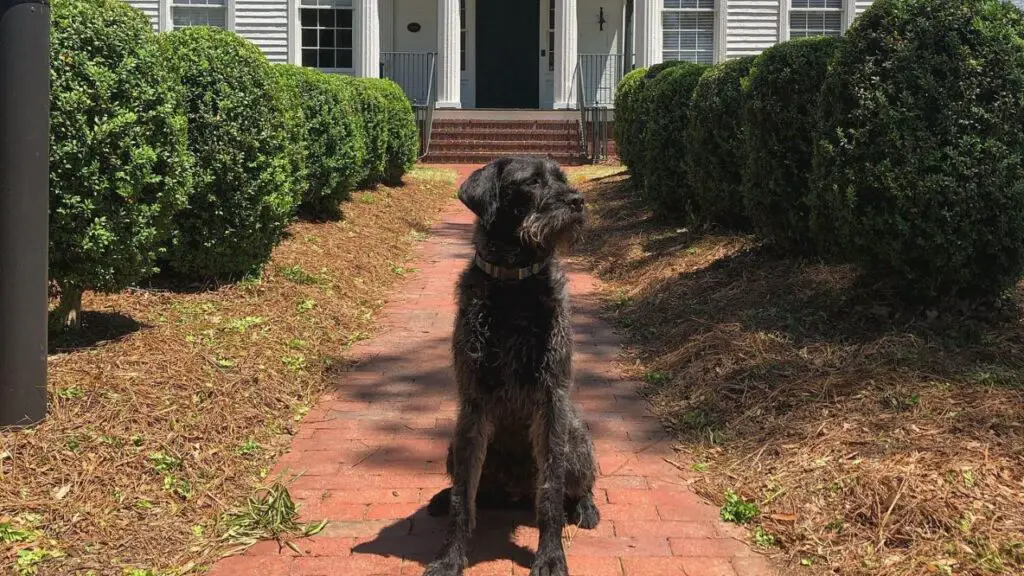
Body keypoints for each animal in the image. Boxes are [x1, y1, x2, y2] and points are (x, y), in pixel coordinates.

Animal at [421, 155, 598, 573]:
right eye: (531, 182)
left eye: (562, 177)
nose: (578, 201)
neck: (514, 285)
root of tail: (515, 493)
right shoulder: (473, 405)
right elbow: (463, 498)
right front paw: (450, 556)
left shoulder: (551, 401)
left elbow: (550, 495)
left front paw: (550, 555)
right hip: (454, 445)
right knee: (473, 492)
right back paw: (441, 498)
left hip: (576, 438)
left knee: (578, 487)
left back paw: (585, 508)